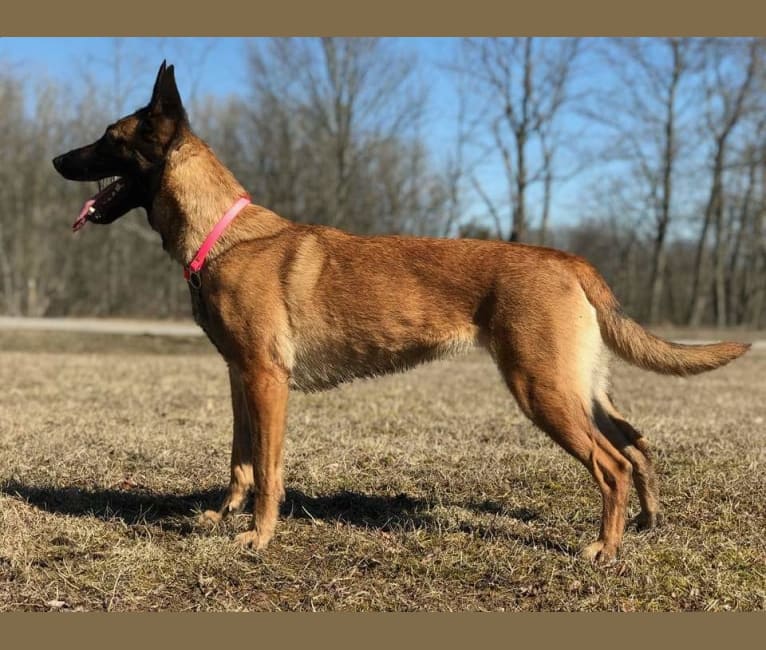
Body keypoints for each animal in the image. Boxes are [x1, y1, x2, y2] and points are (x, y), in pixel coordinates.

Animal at [52, 62, 752, 556]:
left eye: (108, 140)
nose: (56, 158)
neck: (222, 233)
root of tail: (567, 260)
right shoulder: (240, 379)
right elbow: (240, 459)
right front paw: (223, 517)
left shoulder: (268, 382)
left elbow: (270, 470)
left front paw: (258, 536)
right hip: (580, 387)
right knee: (636, 445)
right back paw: (645, 525)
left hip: (543, 389)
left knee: (612, 464)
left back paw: (604, 547)